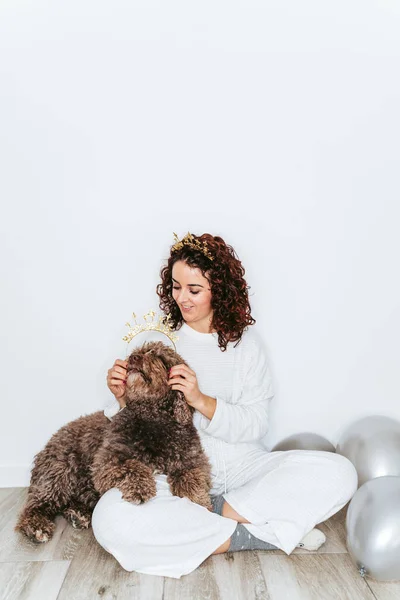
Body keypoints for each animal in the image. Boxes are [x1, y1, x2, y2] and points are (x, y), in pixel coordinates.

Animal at [15, 342, 212, 544]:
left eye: (159, 357)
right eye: (138, 352)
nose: (133, 358)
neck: (151, 419)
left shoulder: (193, 462)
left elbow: (192, 478)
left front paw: (199, 501)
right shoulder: (107, 461)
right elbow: (132, 466)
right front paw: (140, 489)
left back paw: (78, 514)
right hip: (60, 471)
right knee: (37, 504)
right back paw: (37, 526)